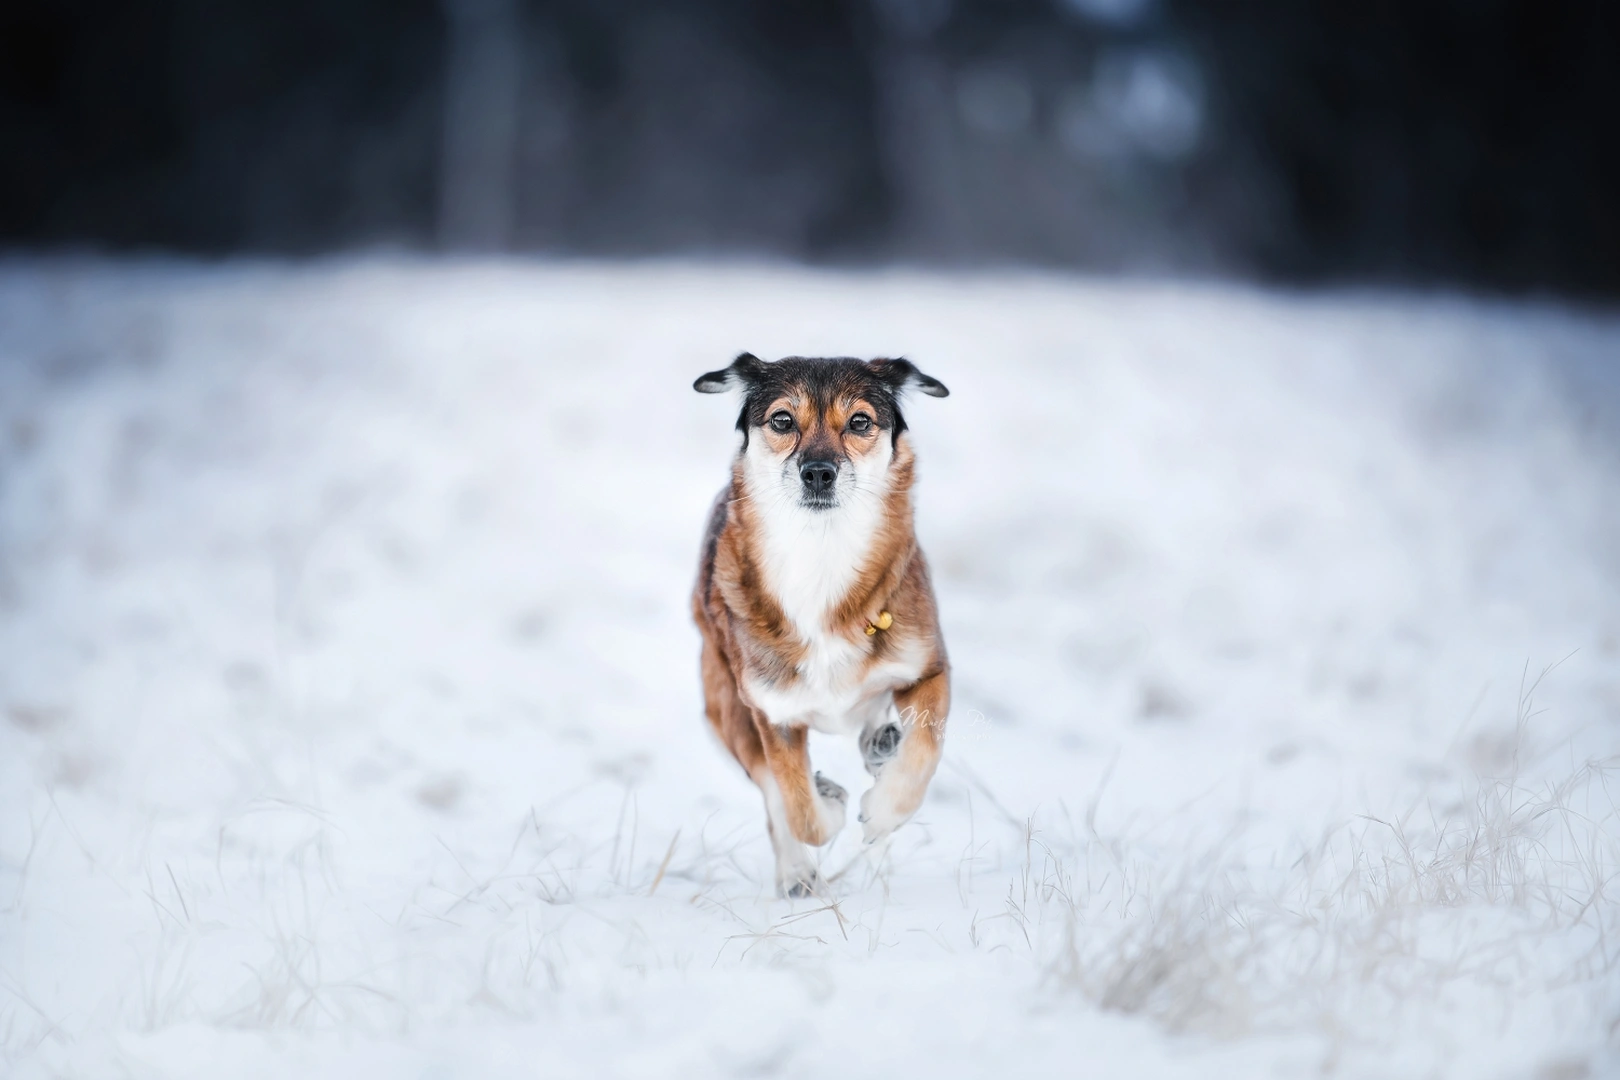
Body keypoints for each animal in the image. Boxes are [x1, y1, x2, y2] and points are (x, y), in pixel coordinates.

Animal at [693, 352, 946, 893]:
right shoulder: (772, 714)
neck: (822, 560)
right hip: (727, 703)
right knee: (771, 787)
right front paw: (828, 803)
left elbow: (925, 751)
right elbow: (798, 807)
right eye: (782, 420)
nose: (818, 473)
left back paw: (880, 746)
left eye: (860, 422)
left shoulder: (929, 668)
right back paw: (797, 871)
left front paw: (883, 811)